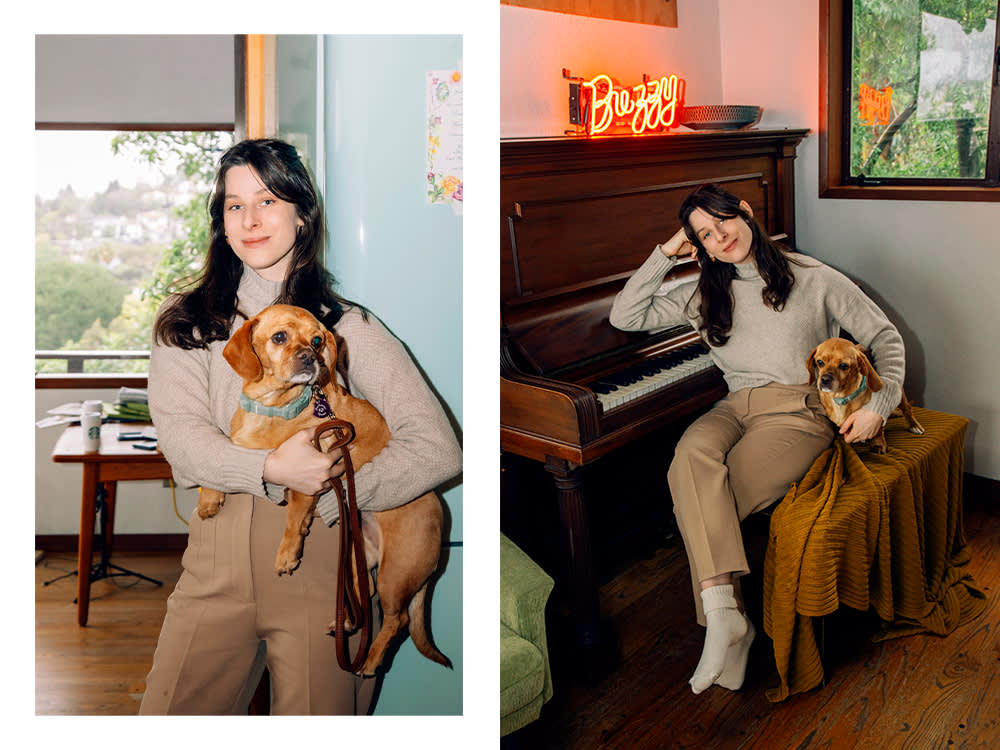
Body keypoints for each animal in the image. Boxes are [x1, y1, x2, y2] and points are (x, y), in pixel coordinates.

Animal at [197, 302, 452, 680]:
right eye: (280, 337)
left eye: (317, 340)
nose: (310, 357)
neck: (275, 407)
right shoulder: (241, 445)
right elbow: (224, 458)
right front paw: (210, 497)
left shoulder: (310, 471)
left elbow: (293, 516)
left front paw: (288, 552)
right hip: (357, 555)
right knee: (365, 593)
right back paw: (346, 623)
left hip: (396, 574)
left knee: (398, 618)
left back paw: (370, 660)